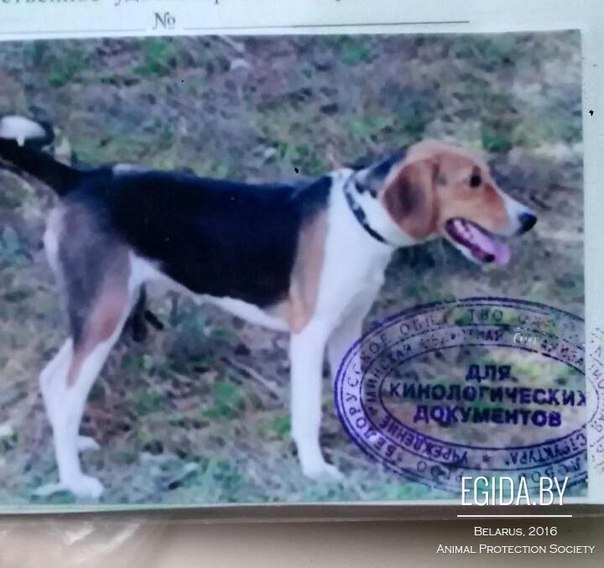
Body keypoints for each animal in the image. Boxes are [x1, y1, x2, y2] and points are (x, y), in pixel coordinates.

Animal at [0, 115, 537, 499]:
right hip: (105, 314)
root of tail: (78, 177)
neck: (361, 219)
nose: (529, 219)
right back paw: (76, 482)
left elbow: (352, 395)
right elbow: (309, 412)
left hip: (97, 312)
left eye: (486, 176)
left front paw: (369, 444)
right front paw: (316, 470)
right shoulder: (310, 334)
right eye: (472, 181)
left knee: (53, 381)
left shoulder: (348, 328)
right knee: (68, 391)